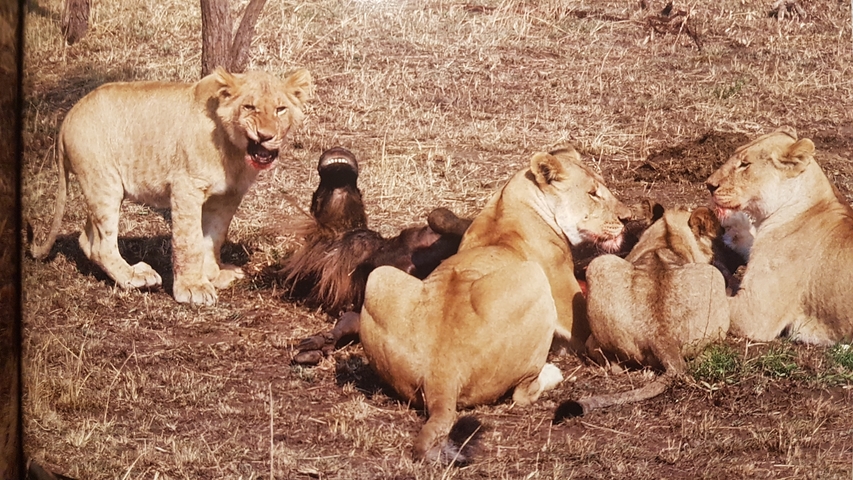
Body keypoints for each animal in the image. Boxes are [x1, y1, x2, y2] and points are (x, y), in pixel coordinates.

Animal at [30, 67, 313, 305]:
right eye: (249, 107)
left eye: (280, 109)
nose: (266, 136)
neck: (235, 152)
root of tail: (67, 118)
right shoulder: (186, 188)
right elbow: (189, 241)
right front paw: (192, 288)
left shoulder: (226, 197)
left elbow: (213, 238)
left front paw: (213, 275)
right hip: (104, 183)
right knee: (102, 245)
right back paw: (135, 277)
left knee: (87, 239)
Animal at [359, 147, 631, 463]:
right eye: (593, 193)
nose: (627, 218)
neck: (510, 201)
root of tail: (442, 375)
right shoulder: (572, 310)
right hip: (534, 277)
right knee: (523, 393)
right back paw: (551, 372)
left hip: (379, 277)